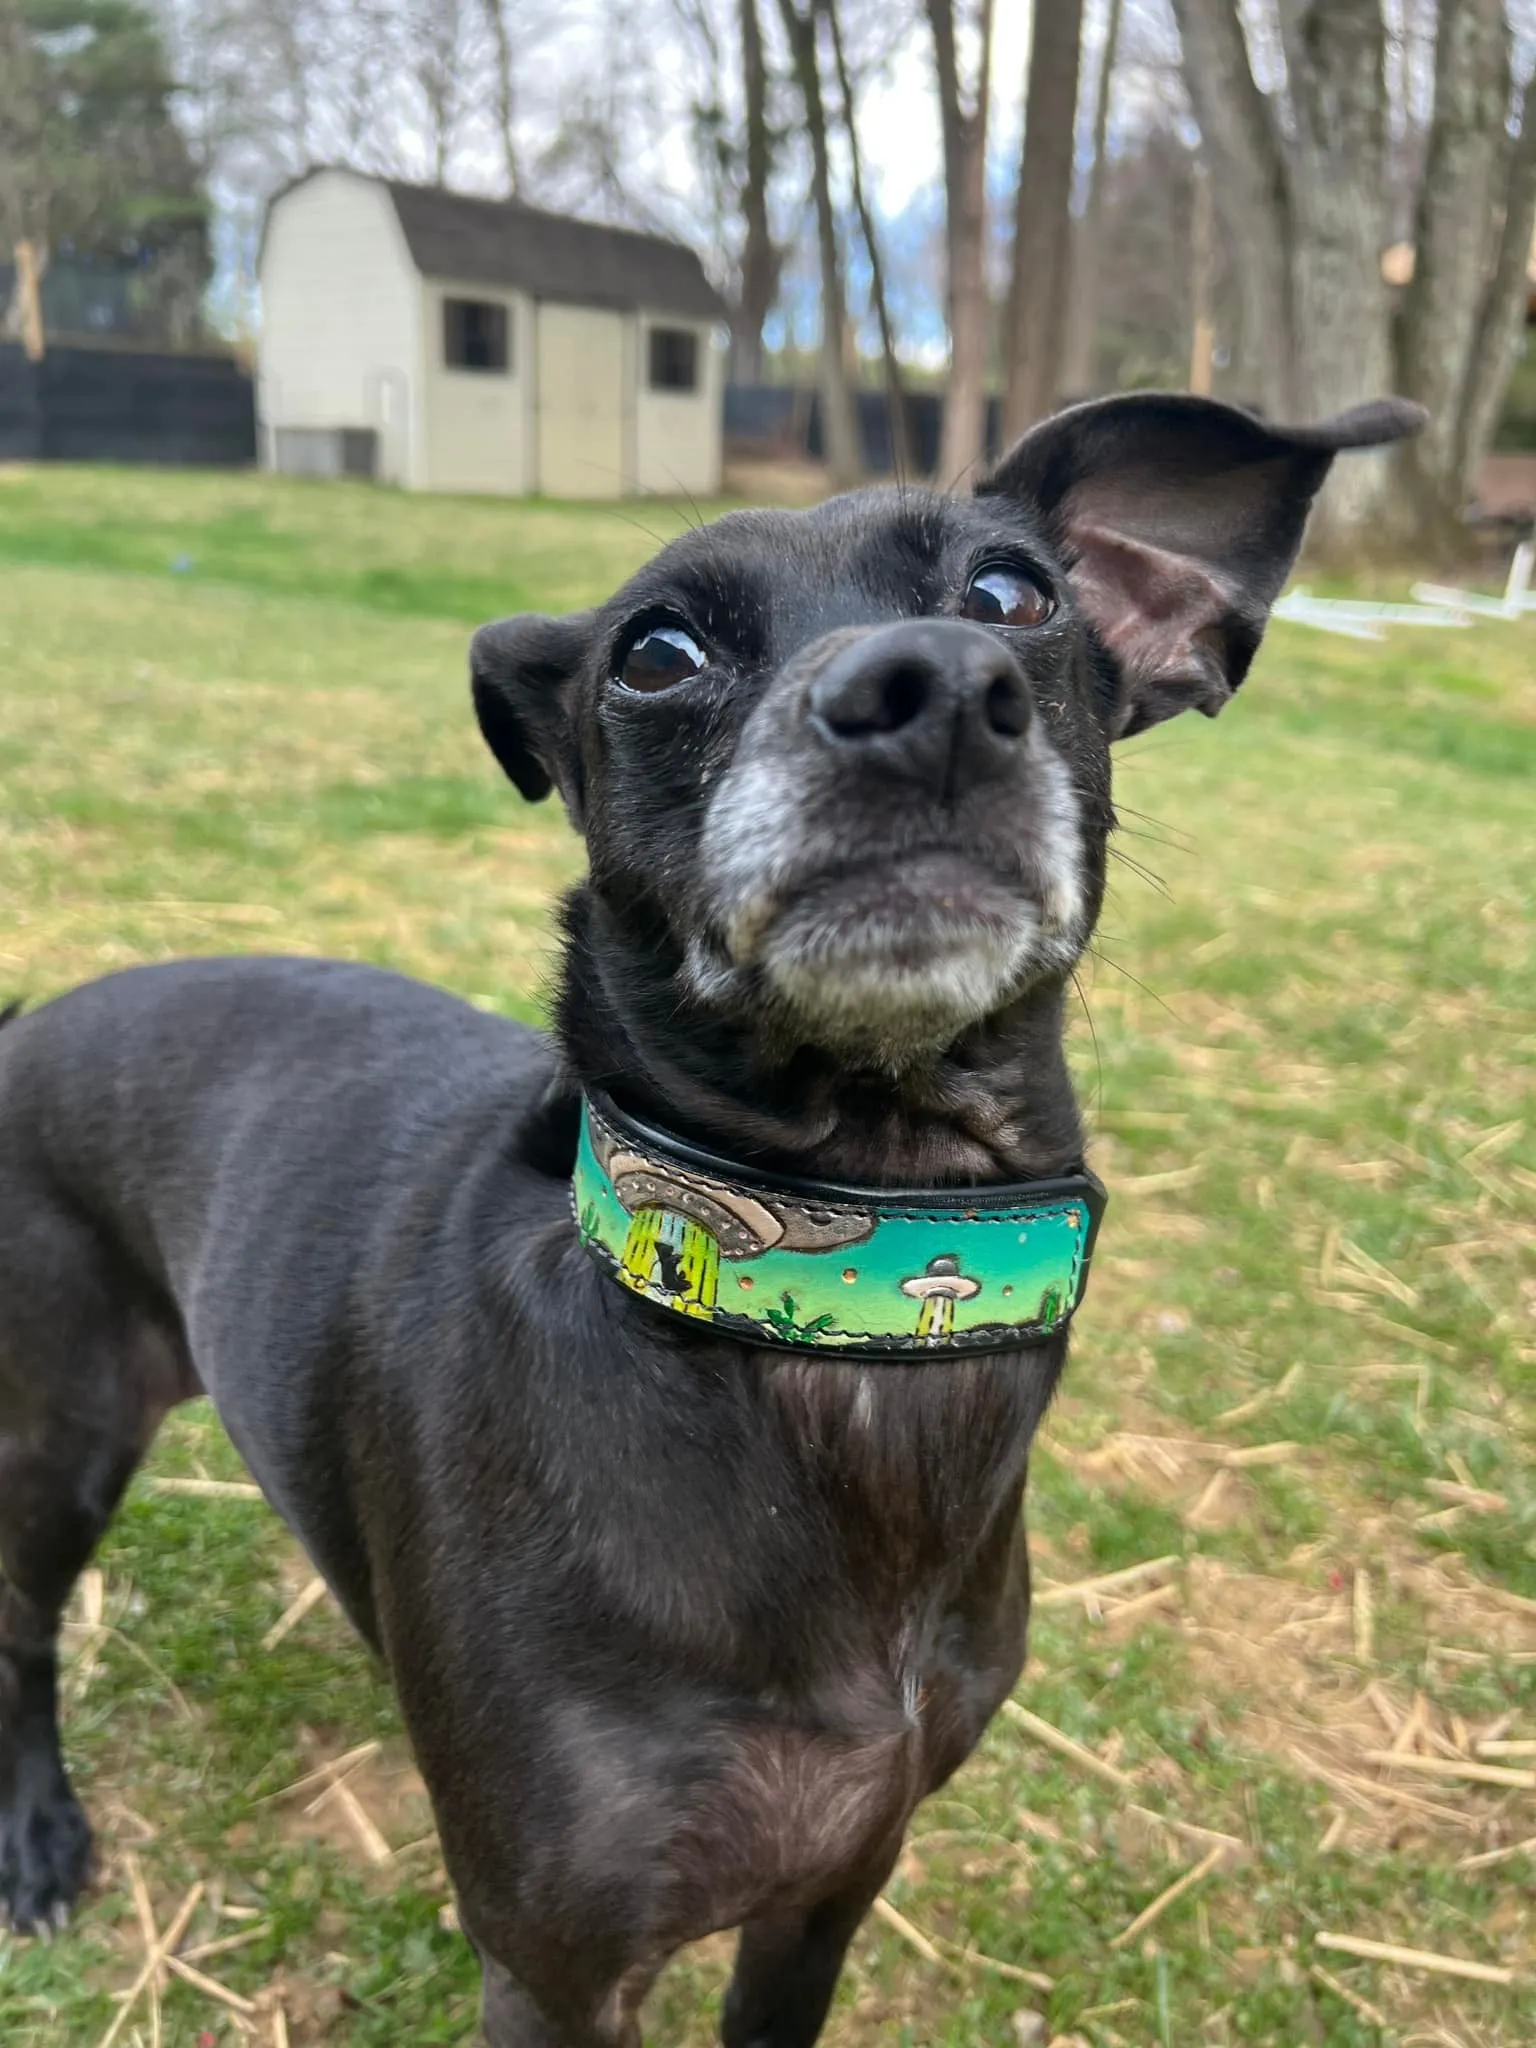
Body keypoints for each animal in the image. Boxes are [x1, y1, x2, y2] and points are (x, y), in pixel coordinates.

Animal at [0, 391, 1417, 2039]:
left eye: (1013, 594)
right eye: (657, 651)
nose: (933, 690)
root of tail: (34, 1020)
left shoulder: (833, 1882)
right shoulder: (557, 1970)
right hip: (58, 1449)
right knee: (23, 1637)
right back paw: (39, 1833)